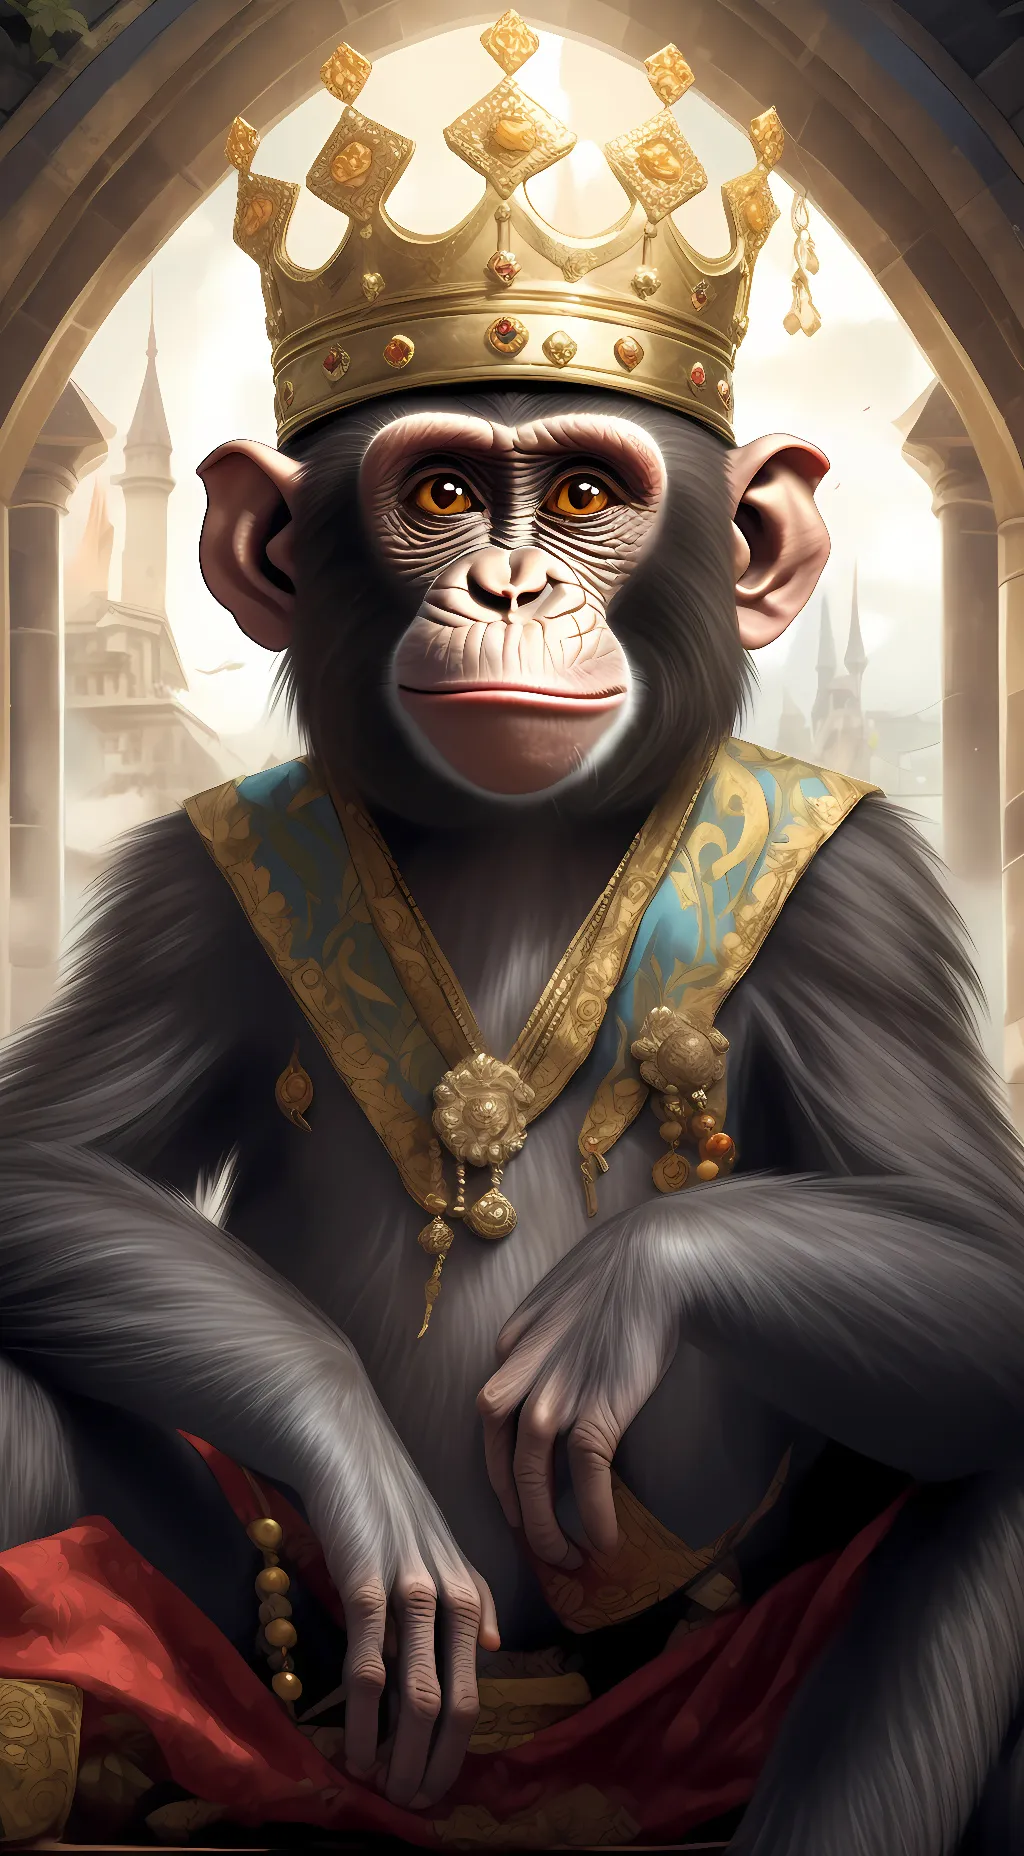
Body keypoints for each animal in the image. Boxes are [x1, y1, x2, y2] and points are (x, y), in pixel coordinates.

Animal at [1, 383, 1024, 1854]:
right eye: (438, 495)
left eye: (589, 497)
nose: (509, 584)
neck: (521, 824)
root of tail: (506, 1782)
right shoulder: (178, 890)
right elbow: (41, 1162)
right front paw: (350, 1445)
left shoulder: (866, 902)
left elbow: (985, 1241)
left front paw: (627, 1293)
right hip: (289, 1680)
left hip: (667, 1701)